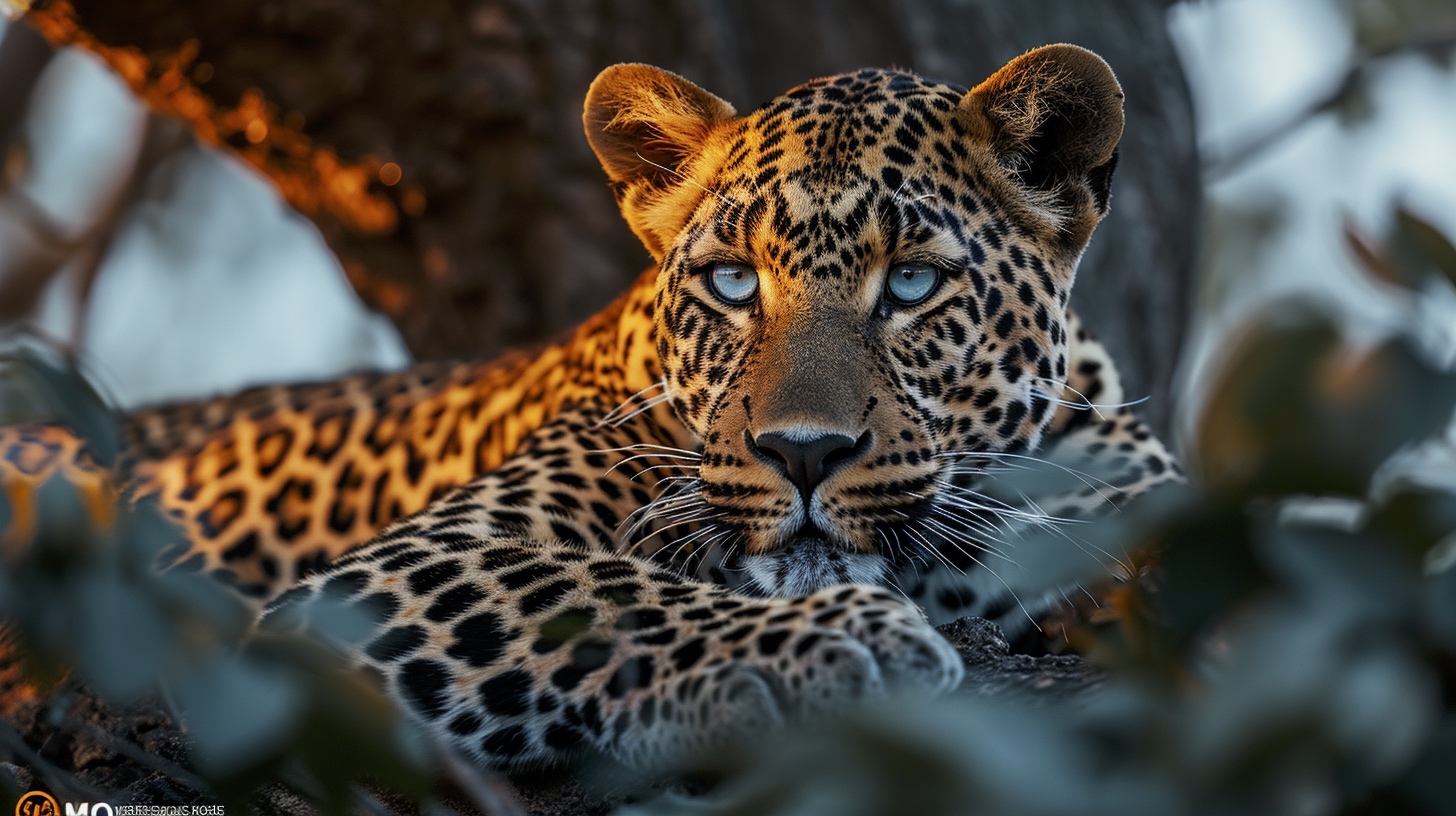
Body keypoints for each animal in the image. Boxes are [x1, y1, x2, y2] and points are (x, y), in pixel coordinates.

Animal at [0, 44, 1181, 773]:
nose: (801, 453)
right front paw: (835, 642)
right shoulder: (393, 572)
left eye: (912, 285)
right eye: (733, 282)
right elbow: (603, 593)